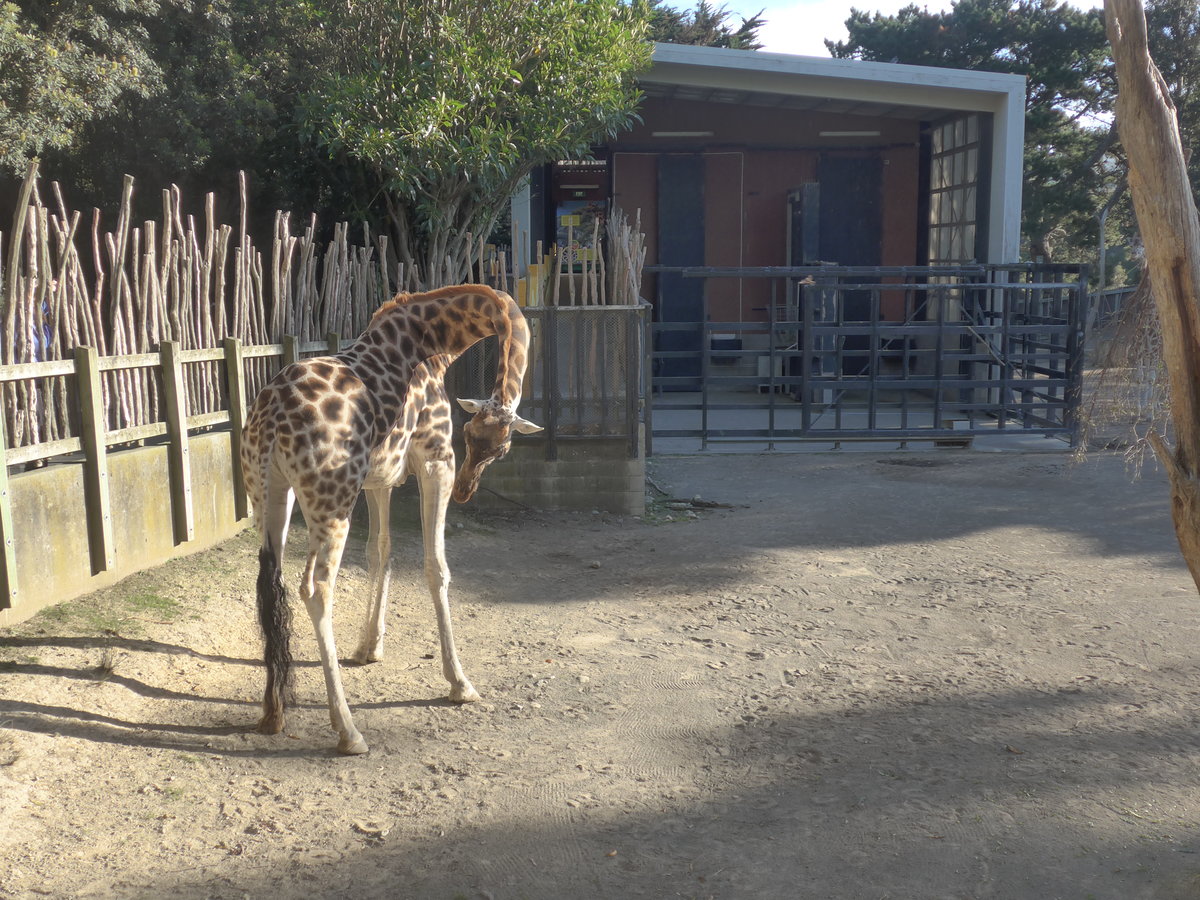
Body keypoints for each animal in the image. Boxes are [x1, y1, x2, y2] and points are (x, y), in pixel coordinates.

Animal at [240, 283, 541, 755]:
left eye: (497, 446)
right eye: (469, 436)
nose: (466, 490)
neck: (432, 342)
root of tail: (270, 419)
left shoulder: (380, 478)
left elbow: (379, 551)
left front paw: (369, 647)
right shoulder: (435, 461)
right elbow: (436, 567)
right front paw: (460, 683)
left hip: (270, 494)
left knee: (271, 581)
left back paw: (273, 713)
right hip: (332, 500)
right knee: (316, 588)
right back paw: (348, 731)